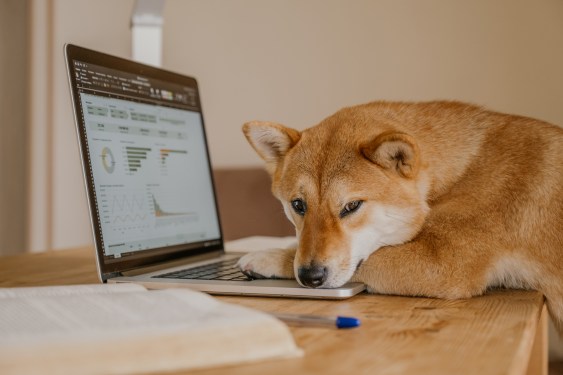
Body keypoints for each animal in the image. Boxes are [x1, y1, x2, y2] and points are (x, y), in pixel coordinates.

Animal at [238, 100, 563, 334]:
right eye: (298, 205)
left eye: (351, 206)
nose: (310, 277)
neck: (461, 171)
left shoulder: (443, 265)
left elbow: (367, 261)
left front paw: (269, 257)